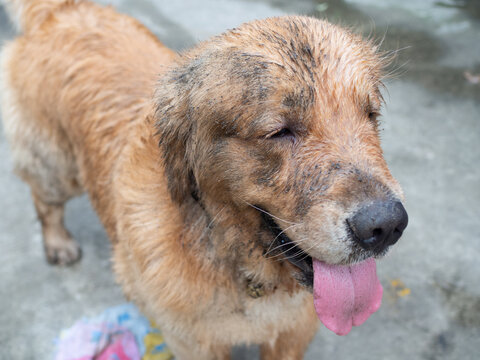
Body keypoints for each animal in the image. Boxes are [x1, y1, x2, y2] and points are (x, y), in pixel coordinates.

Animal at [0, 1, 408, 358]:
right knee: (44, 200)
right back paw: (58, 243)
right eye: (278, 131)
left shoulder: (292, 333)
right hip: (56, 166)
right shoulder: (192, 342)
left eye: (370, 114)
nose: (386, 226)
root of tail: (65, 10)